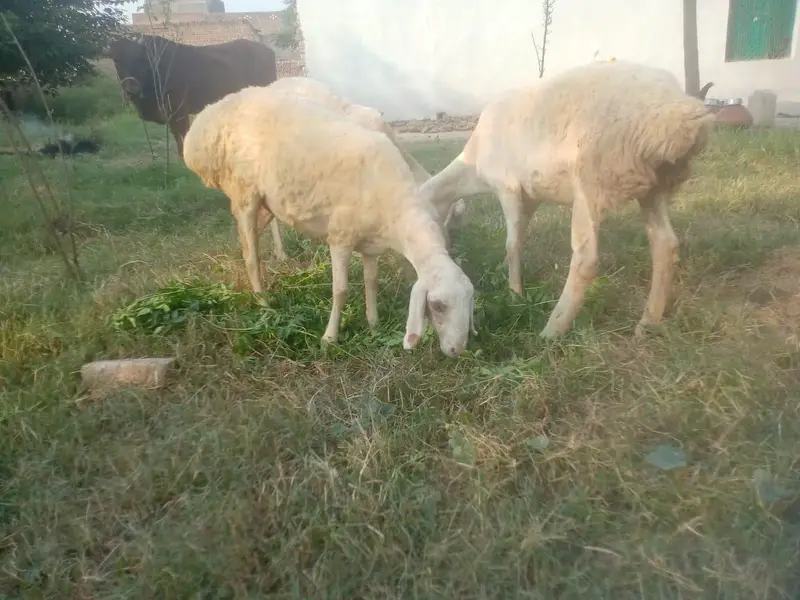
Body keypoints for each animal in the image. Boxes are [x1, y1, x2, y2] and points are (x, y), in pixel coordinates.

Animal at [183, 85, 476, 357]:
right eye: (437, 306)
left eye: (470, 303)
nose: (457, 350)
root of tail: (211, 114)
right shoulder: (340, 238)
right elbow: (341, 290)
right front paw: (330, 338)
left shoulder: (371, 245)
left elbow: (371, 281)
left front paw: (374, 324)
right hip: (245, 192)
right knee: (251, 255)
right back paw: (263, 303)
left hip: (268, 198)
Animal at [418, 60, 715, 339]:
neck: (471, 165)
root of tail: (679, 113)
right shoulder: (529, 197)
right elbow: (518, 240)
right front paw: (507, 275)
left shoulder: (508, 188)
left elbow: (511, 244)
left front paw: (515, 293)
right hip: (650, 186)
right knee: (665, 244)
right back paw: (647, 323)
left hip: (592, 181)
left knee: (586, 259)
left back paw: (551, 331)